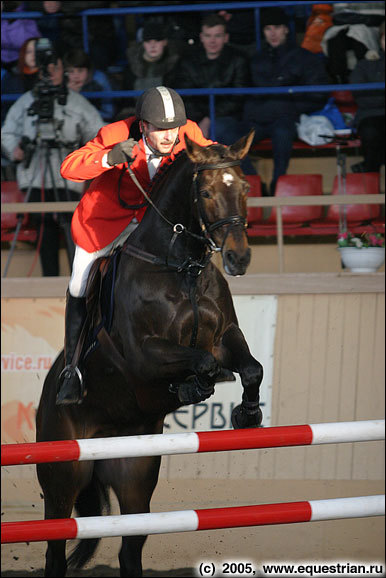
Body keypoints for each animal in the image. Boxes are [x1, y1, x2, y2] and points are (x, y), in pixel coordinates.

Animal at [36, 130, 264, 576]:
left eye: (246, 188)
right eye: (206, 192)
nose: (239, 258)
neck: (181, 267)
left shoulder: (226, 336)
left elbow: (251, 369)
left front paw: (247, 414)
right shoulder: (145, 355)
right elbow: (201, 363)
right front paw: (193, 387)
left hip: (135, 474)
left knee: (130, 548)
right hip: (63, 475)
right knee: (55, 549)